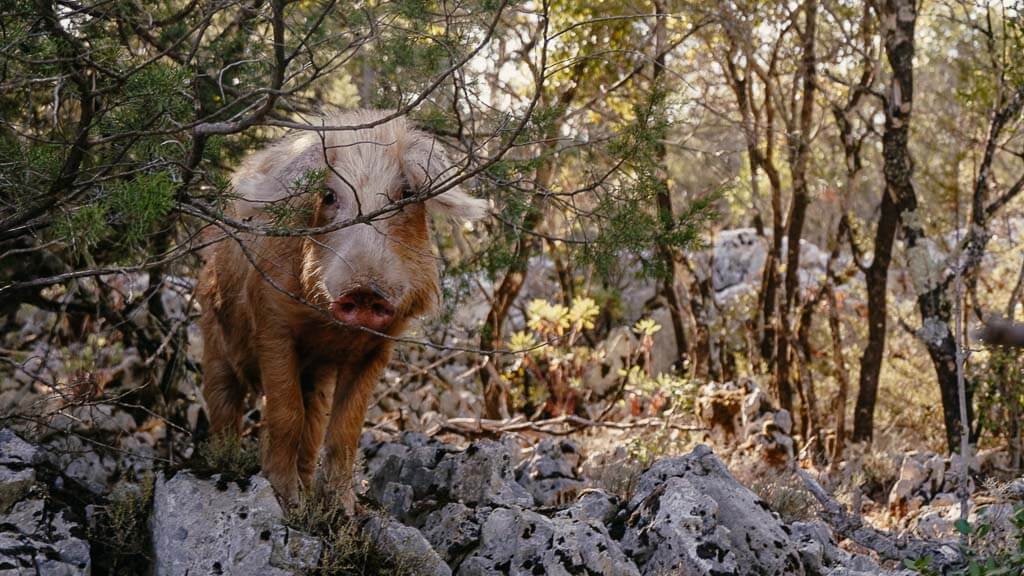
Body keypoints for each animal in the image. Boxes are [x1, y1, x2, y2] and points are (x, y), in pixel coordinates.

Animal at [197, 109, 487, 507]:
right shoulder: (272, 323)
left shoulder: (380, 345)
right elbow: (286, 413)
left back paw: (309, 489)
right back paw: (223, 464)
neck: (330, 330)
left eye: (406, 194)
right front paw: (286, 500)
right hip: (213, 332)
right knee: (223, 401)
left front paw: (343, 509)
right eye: (329, 196)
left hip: (316, 376)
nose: (364, 289)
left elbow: (345, 428)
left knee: (314, 418)